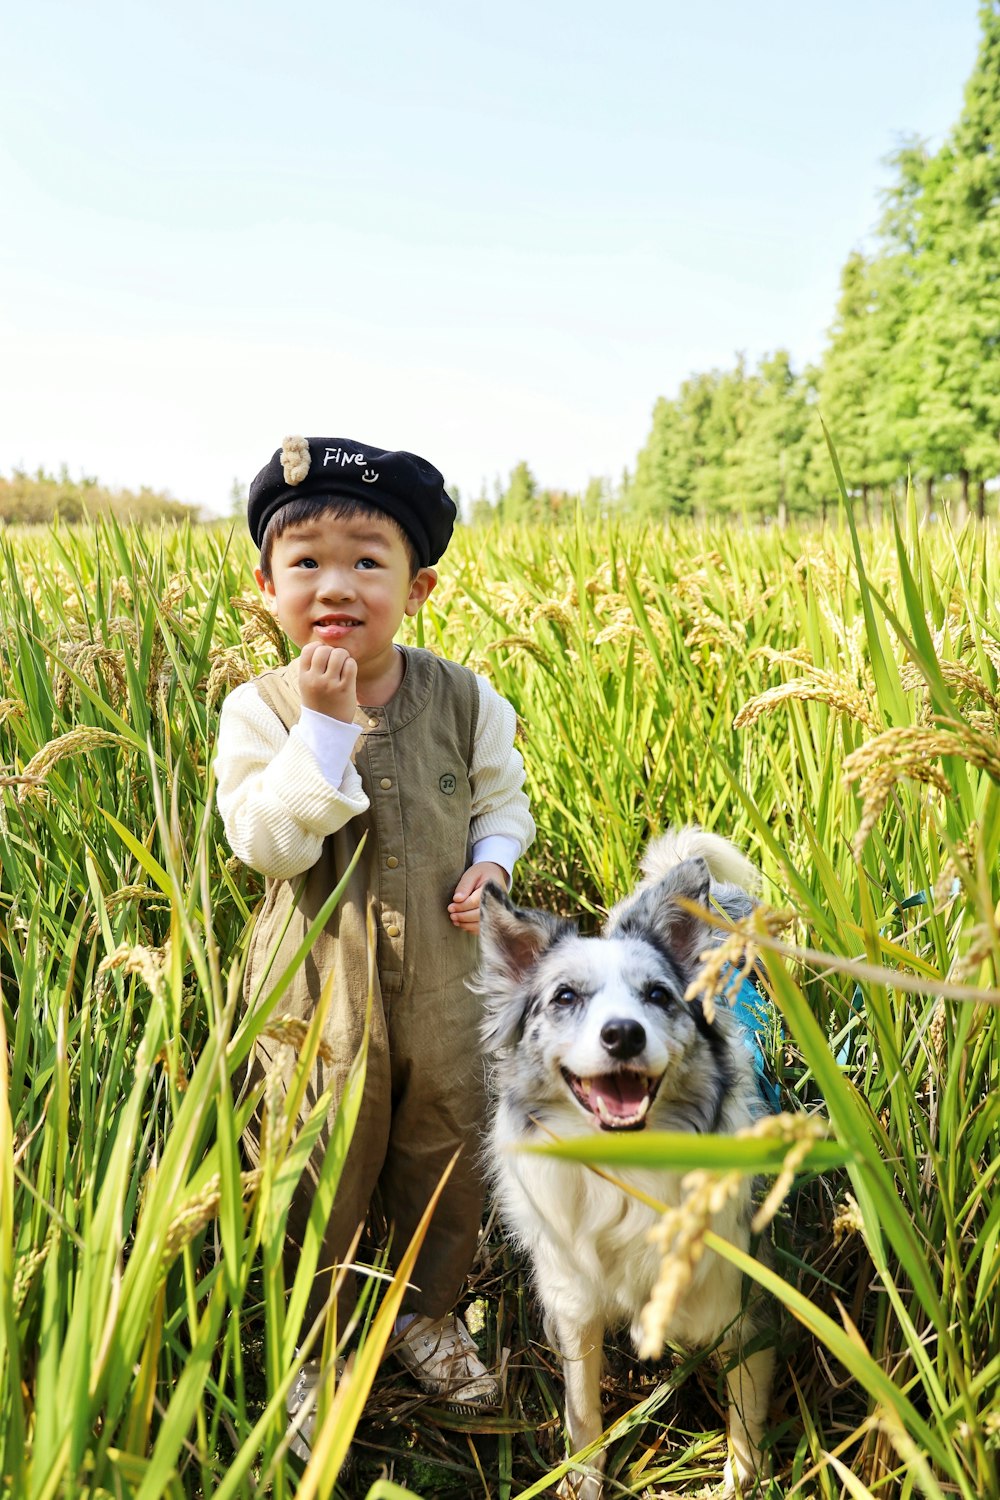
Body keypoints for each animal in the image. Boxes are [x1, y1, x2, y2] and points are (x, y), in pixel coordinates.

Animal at [476, 834, 773, 1500]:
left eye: (658, 995)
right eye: (565, 997)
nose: (622, 1035)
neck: (626, 1169)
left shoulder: (737, 1308)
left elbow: (744, 1416)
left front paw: (741, 1480)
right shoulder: (574, 1304)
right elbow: (583, 1406)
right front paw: (584, 1478)